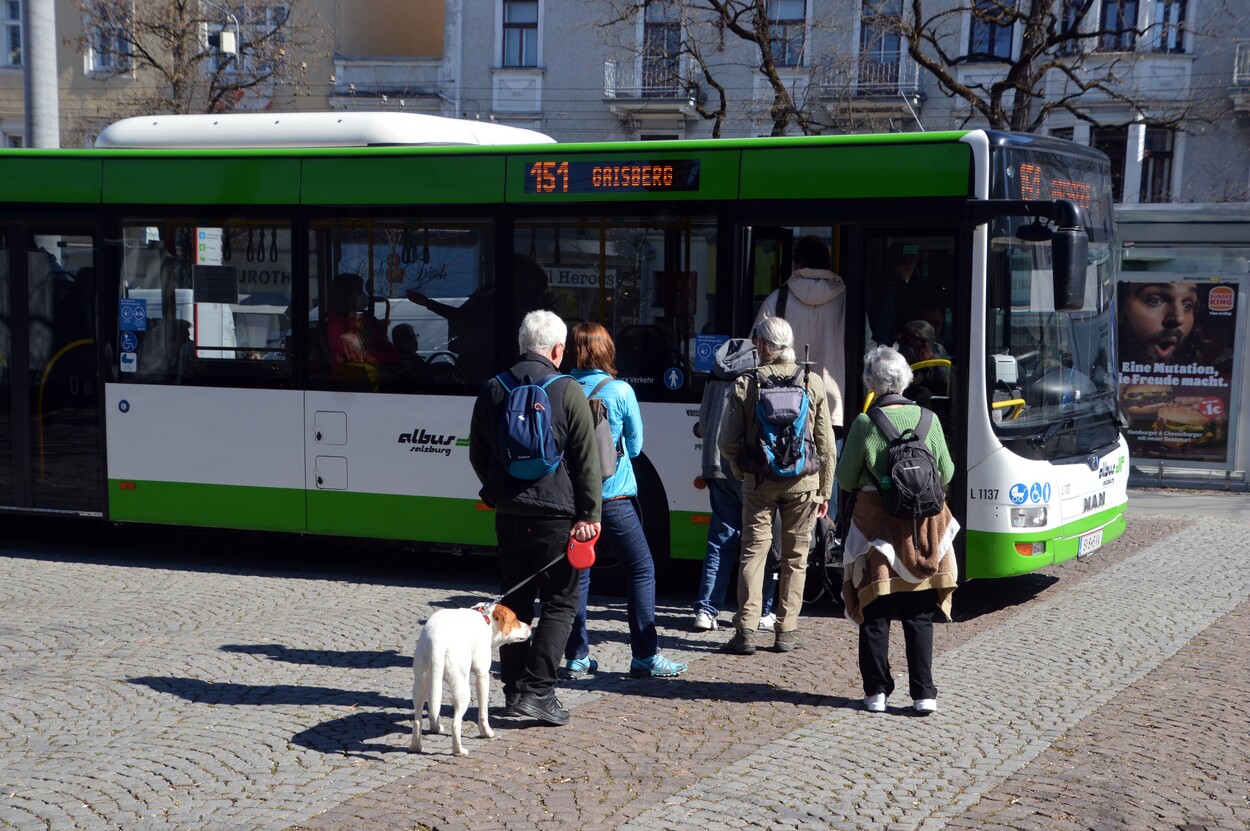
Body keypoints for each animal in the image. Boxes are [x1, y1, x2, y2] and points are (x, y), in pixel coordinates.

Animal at [407, 599, 530, 754]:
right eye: (514, 619)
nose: (530, 627)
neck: (486, 619)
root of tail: (436, 640)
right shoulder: (482, 675)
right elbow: (483, 711)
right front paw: (486, 732)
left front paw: (435, 727)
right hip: (463, 690)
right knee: (455, 723)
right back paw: (459, 751)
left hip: (421, 685)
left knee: (418, 719)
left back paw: (417, 746)